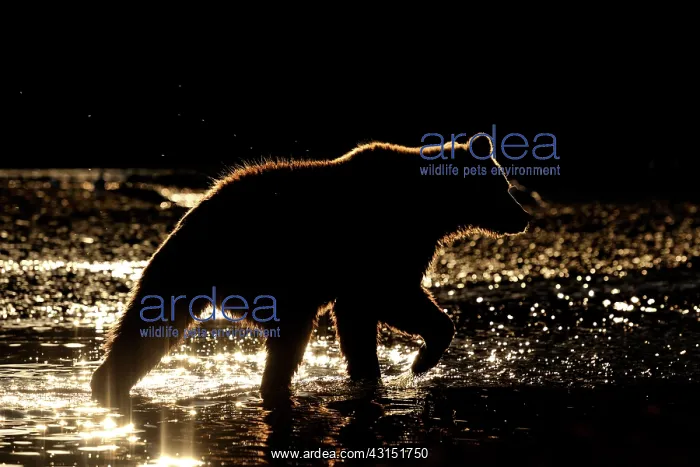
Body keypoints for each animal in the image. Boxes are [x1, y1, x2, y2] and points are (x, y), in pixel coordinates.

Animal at [90, 140, 531, 408]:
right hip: (258, 268)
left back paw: (109, 380)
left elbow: (358, 319)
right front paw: (419, 362)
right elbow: (393, 296)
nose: (524, 216)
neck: (429, 207)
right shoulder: (381, 248)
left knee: (149, 328)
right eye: (504, 186)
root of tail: (193, 211)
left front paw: (369, 375)